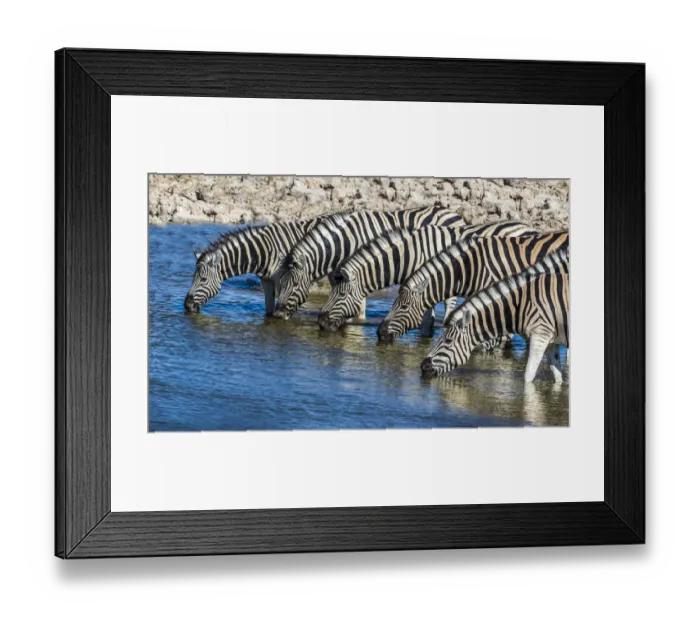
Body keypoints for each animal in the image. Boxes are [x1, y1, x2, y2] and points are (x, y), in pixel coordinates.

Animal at [184, 218, 320, 315]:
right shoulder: (266, 280)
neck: (264, 251)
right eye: (193, 278)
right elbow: (269, 310)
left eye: (203, 280)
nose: (187, 306)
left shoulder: (284, 281)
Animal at [272, 205, 465, 320]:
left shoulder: (359, 268)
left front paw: (356, 321)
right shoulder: (340, 274)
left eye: (295, 284)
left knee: (449, 302)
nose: (278, 315)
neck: (346, 242)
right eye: (280, 283)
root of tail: (455, 214)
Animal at [420, 247, 570, 382]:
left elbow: (528, 376)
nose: (423, 366)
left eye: (448, 341)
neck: (521, 304)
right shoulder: (551, 341)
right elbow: (558, 377)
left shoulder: (540, 336)